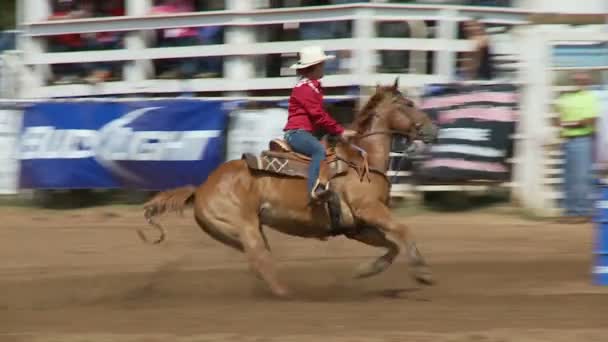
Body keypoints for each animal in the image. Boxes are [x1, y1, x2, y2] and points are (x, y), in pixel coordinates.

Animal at [141, 80, 440, 296]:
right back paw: (287, 294)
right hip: (244, 227)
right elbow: (403, 231)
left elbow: (392, 246)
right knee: (261, 262)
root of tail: (202, 187)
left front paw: (365, 270)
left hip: (239, 233)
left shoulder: (358, 227)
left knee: (259, 262)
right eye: (409, 103)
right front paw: (423, 273)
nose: (433, 130)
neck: (361, 161)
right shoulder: (370, 210)